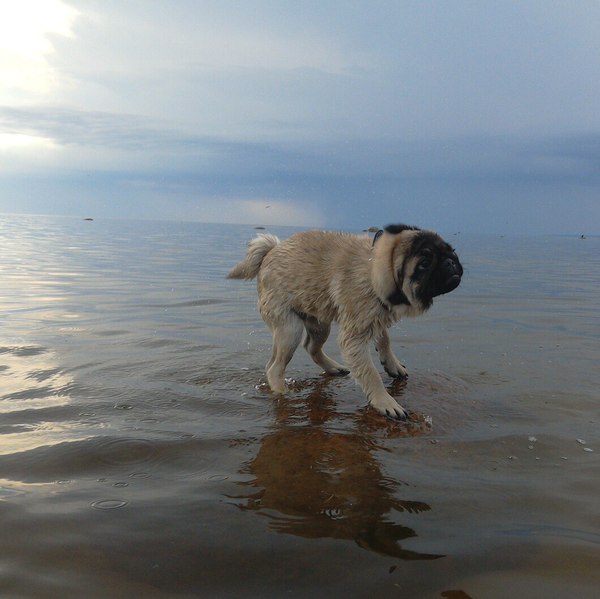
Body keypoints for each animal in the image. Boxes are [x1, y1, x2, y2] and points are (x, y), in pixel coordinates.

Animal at [227, 226, 462, 422]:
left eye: (452, 251)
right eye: (424, 263)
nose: (451, 262)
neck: (373, 269)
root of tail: (271, 250)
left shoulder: (376, 318)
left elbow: (384, 339)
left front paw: (391, 363)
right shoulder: (355, 338)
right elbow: (370, 374)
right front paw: (385, 401)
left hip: (320, 323)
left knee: (312, 348)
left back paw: (333, 367)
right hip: (289, 330)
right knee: (274, 367)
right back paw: (283, 393)